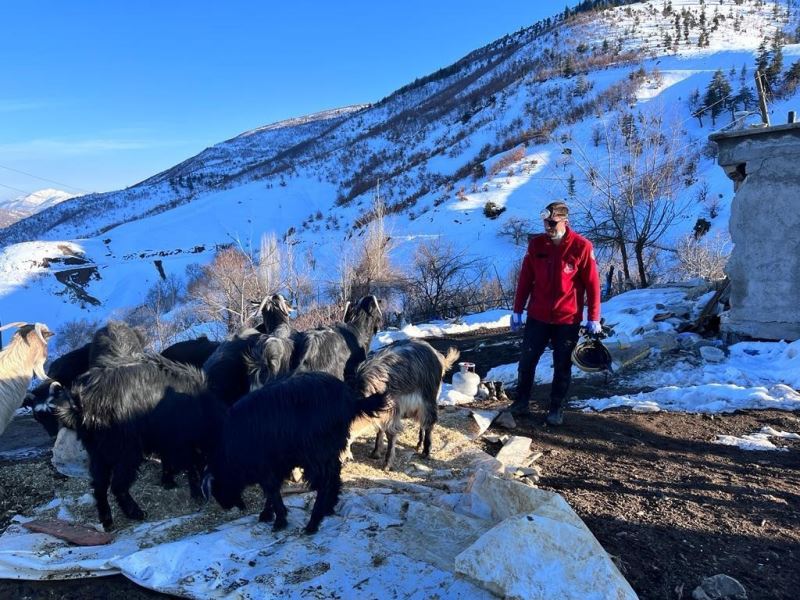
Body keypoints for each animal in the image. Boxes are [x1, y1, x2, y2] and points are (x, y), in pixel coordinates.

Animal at [202, 372, 386, 536]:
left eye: (217, 488)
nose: (228, 506)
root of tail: (350, 399)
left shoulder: (265, 467)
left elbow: (271, 490)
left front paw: (279, 521)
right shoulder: (278, 464)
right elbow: (272, 490)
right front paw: (268, 514)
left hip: (317, 454)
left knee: (324, 482)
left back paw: (313, 523)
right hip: (331, 449)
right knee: (335, 475)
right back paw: (328, 508)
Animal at [352, 340, 460, 472]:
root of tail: (438, 355)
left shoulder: (392, 411)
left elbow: (390, 434)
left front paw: (387, 463)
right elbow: (379, 429)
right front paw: (376, 452)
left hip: (428, 399)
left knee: (429, 423)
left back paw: (426, 451)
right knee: (422, 423)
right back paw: (419, 444)